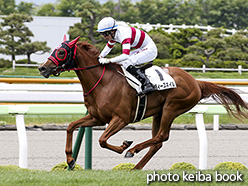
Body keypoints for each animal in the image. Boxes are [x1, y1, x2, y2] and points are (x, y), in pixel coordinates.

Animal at [38, 36, 248, 170]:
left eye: (61, 51)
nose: (42, 68)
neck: (103, 82)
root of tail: (196, 81)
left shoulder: (121, 119)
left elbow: (102, 140)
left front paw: (124, 145)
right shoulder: (96, 117)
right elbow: (70, 127)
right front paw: (70, 160)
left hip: (172, 108)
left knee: (162, 136)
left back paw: (133, 150)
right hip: (159, 112)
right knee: (158, 142)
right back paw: (135, 167)